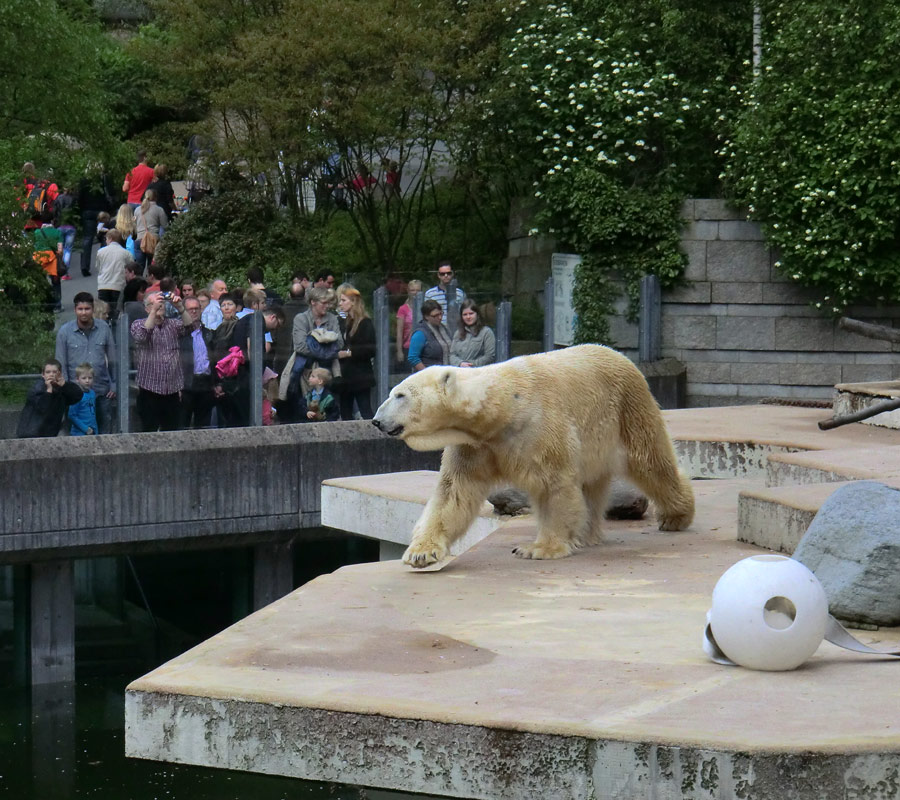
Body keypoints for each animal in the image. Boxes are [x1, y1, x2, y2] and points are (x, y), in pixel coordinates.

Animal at [372, 346, 696, 568]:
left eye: (399, 395)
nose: (376, 420)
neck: (500, 409)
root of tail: (623, 357)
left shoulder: (540, 430)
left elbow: (554, 486)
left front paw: (539, 549)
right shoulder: (473, 446)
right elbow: (454, 493)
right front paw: (421, 552)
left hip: (629, 409)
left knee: (650, 461)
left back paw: (676, 516)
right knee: (594, 485)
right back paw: (585, 534)